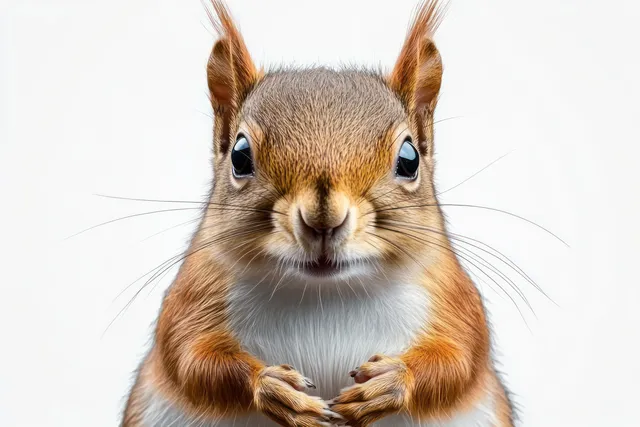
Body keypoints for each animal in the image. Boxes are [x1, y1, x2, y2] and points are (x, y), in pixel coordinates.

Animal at [121, 1, 515, 426]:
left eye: (409, 159)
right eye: (240, 156)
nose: (323, 219)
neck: (325, 294)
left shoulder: (452, 294)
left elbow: (461, 356)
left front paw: (391, 381)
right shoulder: (194, 292)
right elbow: (187, 354)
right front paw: (272, 387)